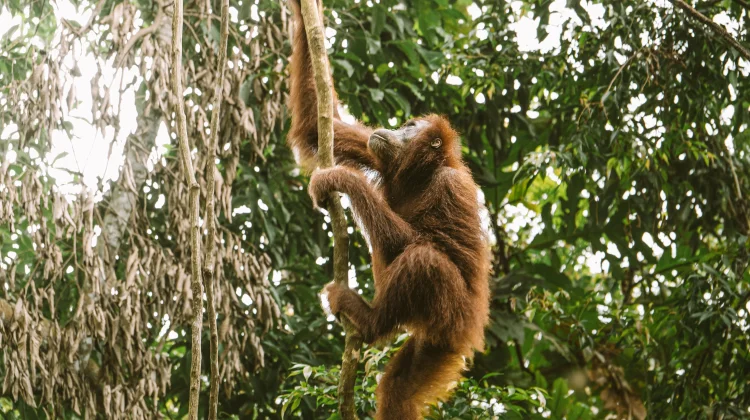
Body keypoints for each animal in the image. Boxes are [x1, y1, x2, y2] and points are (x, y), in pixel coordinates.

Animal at [287, 1, 491, 419]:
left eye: (411, 127)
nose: (395, 129)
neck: (420, 174)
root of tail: (463, 337)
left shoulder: (452, 186)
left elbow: (420, 243)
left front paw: (342, 180)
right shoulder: (378, 153)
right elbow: (318, 125)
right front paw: (304, 10)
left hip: (452, 315)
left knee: (424, 260)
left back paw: (369, 323)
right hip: (436, 345)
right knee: (400, 389)